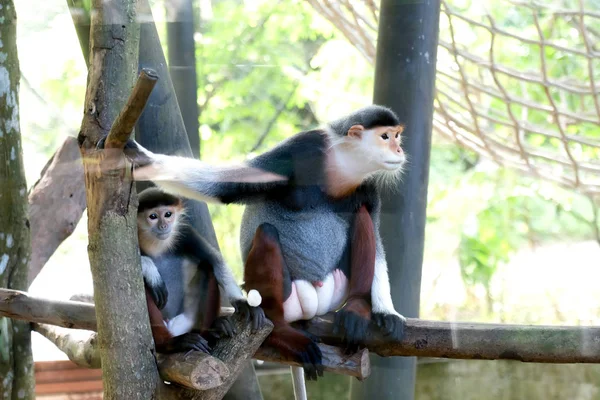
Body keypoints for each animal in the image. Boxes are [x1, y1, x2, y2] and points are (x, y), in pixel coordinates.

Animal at [98, 104, 408, 380]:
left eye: (397, 136)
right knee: (268, 233)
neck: (341, 168)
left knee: (361, 213)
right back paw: (281, 331)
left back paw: (356, 309)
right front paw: (139, 155)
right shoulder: (303, 148)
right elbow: (224, 186)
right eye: (385, 137)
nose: (399, 150)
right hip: (285, 296)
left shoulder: (368, 185)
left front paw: (386, 310)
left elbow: (375, 232)